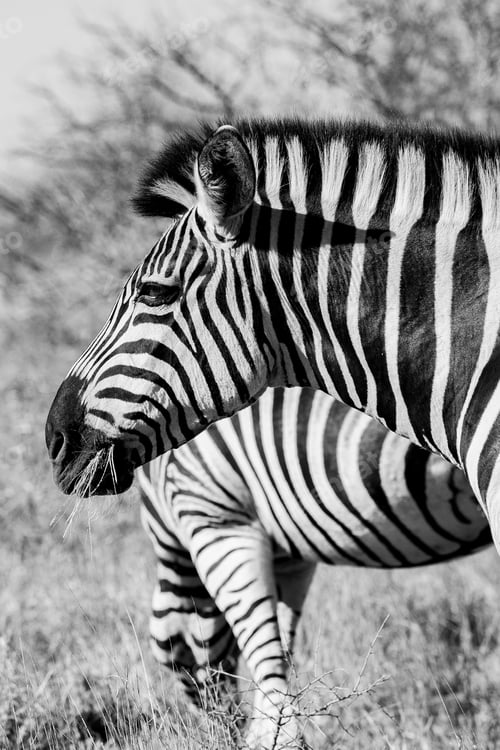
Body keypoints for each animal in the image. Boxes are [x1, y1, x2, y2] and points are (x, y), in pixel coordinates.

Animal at [139, 386, 490, 743]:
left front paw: (274, 737)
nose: (224, 735)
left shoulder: (216, 514)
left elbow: (259, 652)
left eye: (177, 658)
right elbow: (280, 648)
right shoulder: (287, 551)